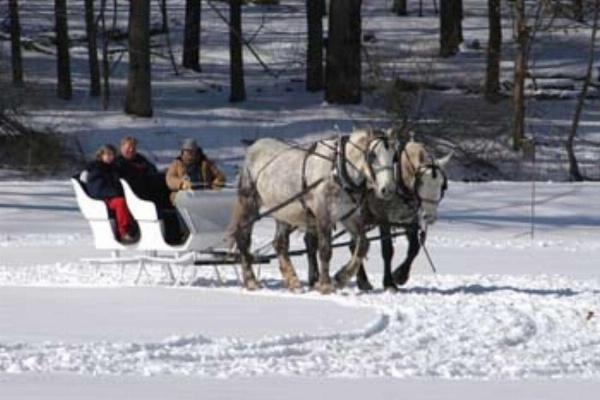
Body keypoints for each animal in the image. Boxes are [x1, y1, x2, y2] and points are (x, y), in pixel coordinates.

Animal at [227, 128, 396, 294]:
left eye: (394, 156)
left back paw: (293, 282)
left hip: (283, 211)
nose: (388, 189)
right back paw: (251, 281)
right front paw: (326, 285)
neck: (336, 171)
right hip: (249, 202)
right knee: (243, 238)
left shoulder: (349, 216)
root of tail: (254, 145)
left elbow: (363, 244)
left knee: (280, 243)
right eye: (372, 155)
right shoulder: (324, 216)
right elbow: (325, 251)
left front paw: (341, 278)